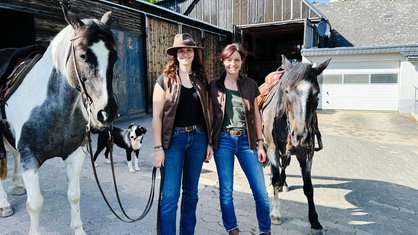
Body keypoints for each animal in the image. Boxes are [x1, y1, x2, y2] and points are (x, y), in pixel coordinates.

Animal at [0, 2, 117, 234]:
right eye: (82, 55)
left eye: (114, 56)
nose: (106, 112)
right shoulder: (30, 158)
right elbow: (35, 204)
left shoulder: (75, 153)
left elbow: (74, 195)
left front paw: (78, 230)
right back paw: (5, 205)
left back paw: (17, 185)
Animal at [260, 54, 332, 235]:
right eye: (286, 91)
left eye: (316, 93)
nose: (300, 135)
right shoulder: (272, 149)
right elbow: (275, 178)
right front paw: (275, 213)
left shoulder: (305, 153)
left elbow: (308, 187)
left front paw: (315, 222)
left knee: (284, 165)